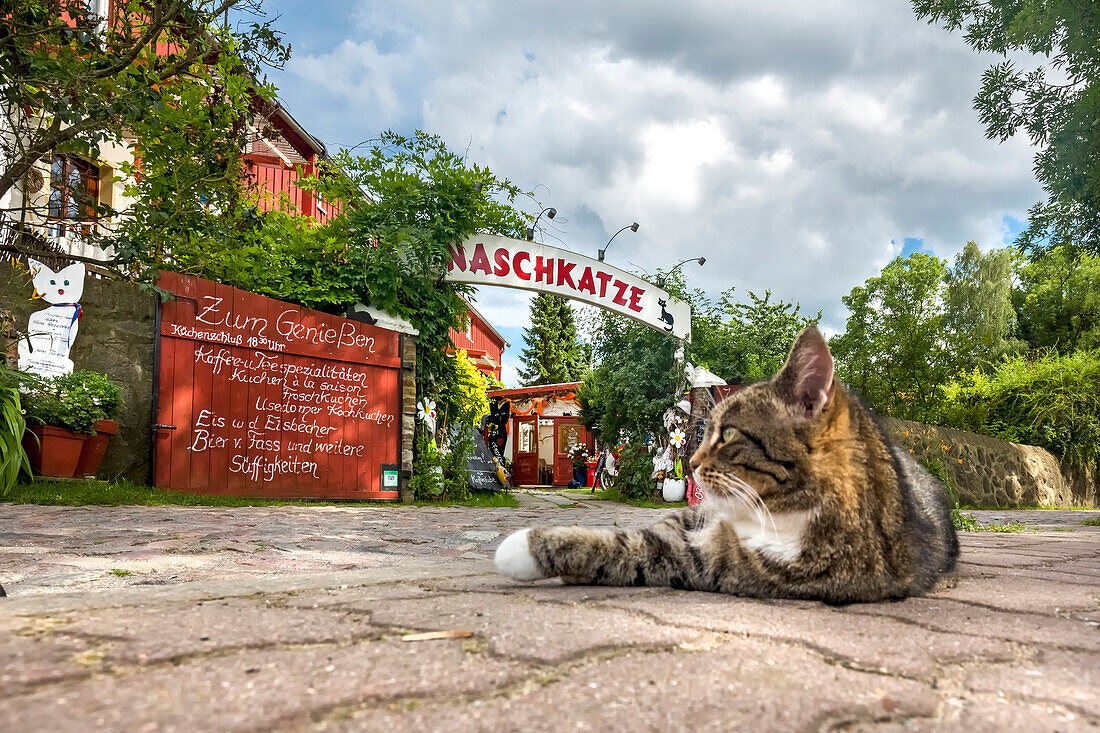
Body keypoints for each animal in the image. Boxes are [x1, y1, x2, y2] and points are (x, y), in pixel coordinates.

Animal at [495, 325, 959, 598]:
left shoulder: (716, 560)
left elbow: (623, 547)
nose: (693, 462)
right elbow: (646, 529)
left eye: (730, 434)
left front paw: (521, 548)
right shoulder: (697, 521)